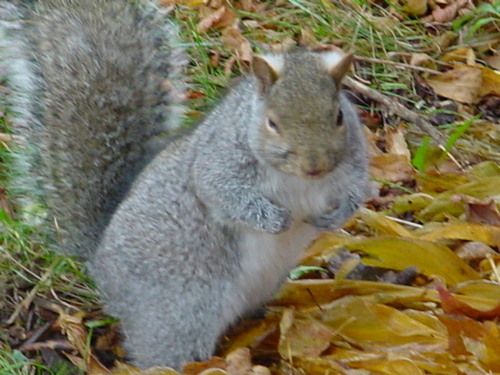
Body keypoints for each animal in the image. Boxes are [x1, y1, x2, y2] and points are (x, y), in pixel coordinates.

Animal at [0, 0, 368, 372]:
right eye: (272, 122)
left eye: (339, 116)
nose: (314, 166)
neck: (297, 179)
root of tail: (99, 264)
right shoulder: (218, 161)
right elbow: (221, 192)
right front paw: (273, 220)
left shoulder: (352, 164)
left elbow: (356, 191)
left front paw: (335, 217)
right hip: (181, 309)